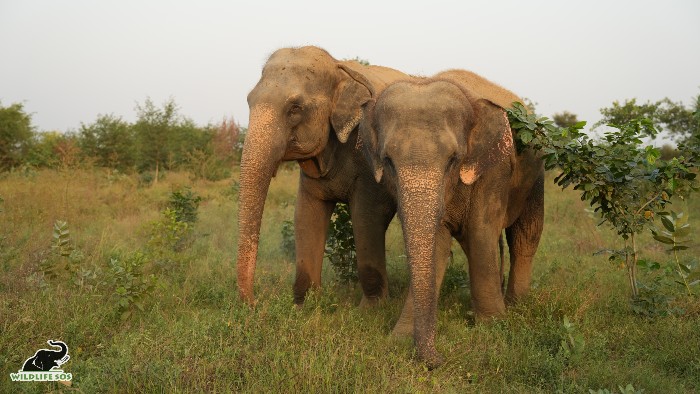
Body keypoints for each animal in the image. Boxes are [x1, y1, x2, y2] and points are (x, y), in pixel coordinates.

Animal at [238, 45, 410, 304]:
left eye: (295, 109)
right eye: (249, 101)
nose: (255, 302)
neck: (338, 67)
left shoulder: (370, 161)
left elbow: (367, 217)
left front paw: (373, 308)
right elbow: (306, 215)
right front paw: (304, 304)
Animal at [360, 72, 548, 368]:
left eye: (453, 160)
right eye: (388, 161)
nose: (440, 358)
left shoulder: (494, 169)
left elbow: (482, 230)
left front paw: (493, 327)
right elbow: (437, 245)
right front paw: (399, 339)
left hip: (536, 177)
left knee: (525, 236)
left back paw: (517, 305)